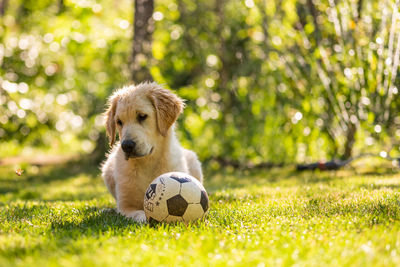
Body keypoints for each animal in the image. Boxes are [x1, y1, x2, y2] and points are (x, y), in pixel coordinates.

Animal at [101, 82, 203, 224]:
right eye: (119, 122)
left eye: (142, 116)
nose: (126, 146)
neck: (147, 162)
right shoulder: (126, 206)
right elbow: (138, 214)